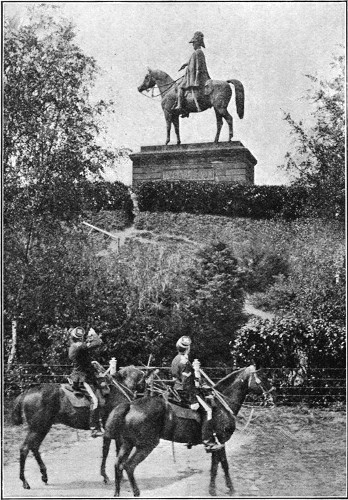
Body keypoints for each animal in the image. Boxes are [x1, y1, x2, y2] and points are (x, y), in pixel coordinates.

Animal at [10, 364, 144, 488]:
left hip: (43, 428)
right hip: (38, 428)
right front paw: (109, 476)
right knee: (25, 448)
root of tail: (28, 391)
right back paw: (25, 482)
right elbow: (109, 452)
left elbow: (108, 451)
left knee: (34, 447)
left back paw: (44, 476)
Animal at [101, 366, 274, 498]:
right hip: (146, 445)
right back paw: (136, 492)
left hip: (127, 443)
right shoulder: (221, 441)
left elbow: (217, 466)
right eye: (261, 379)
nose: (272, 397)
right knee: (129, 466)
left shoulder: (217, 444)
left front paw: (215, 490)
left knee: (118, 465)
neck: (222, 405)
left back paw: (117, 492)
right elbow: (222, 465)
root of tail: (130, 405)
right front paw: (228, 489)